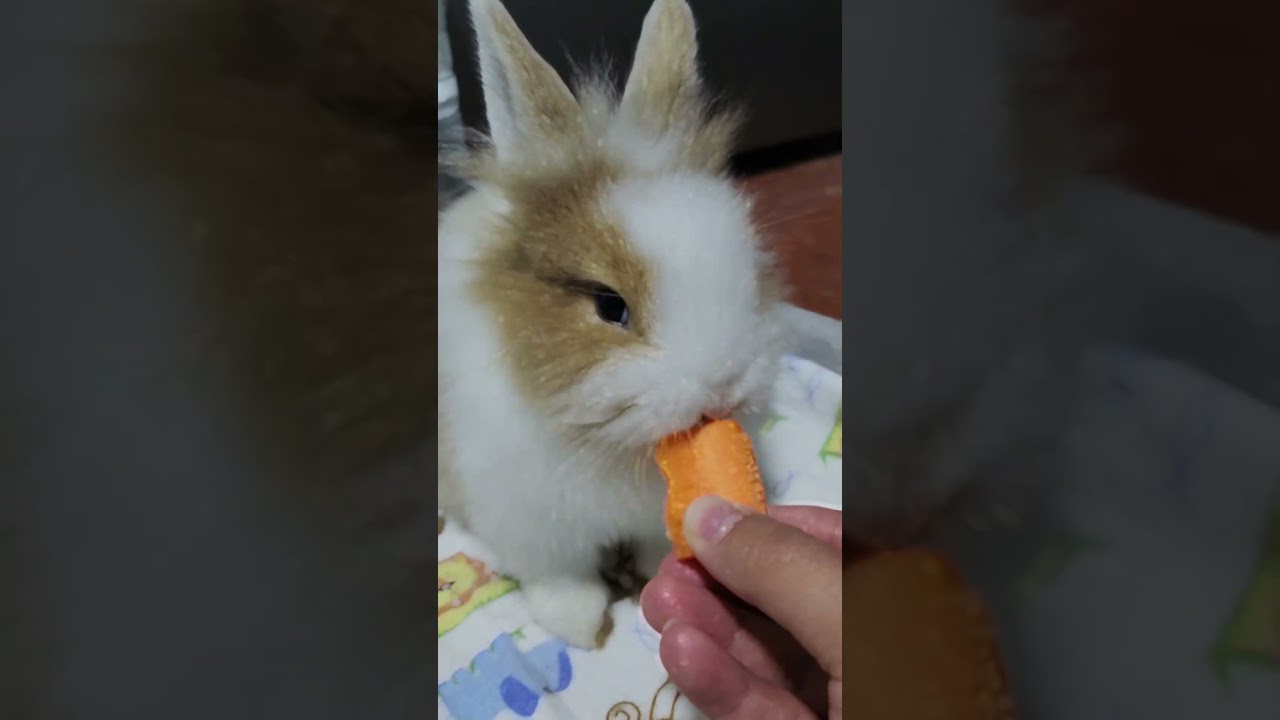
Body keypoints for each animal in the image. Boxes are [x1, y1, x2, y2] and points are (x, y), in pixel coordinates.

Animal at [437, 0, 790, 648]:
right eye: (609, 305)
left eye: (747, 270)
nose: (723, 386)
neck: (611, 444)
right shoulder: (536, 527)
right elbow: (562, 579)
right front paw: (575, 626)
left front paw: (653, 574)